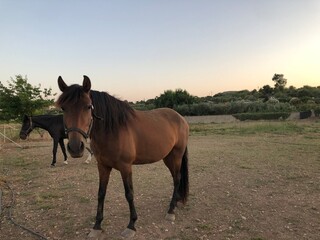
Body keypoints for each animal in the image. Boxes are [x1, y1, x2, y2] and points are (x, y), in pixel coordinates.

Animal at [56, 75, 189, 238]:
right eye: (63, 108)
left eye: (88, 106)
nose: (75, 147)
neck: (113, 130)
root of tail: (180, 118)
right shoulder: (103, 166)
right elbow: (101, 193)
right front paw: (97, 226)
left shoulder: (126, 167)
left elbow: (129, 194)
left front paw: (131, 225)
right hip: (168, 157)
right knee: (176, 178)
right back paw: (175, 203)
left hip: (176, 155)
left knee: (177, 179)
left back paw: (171, 211)